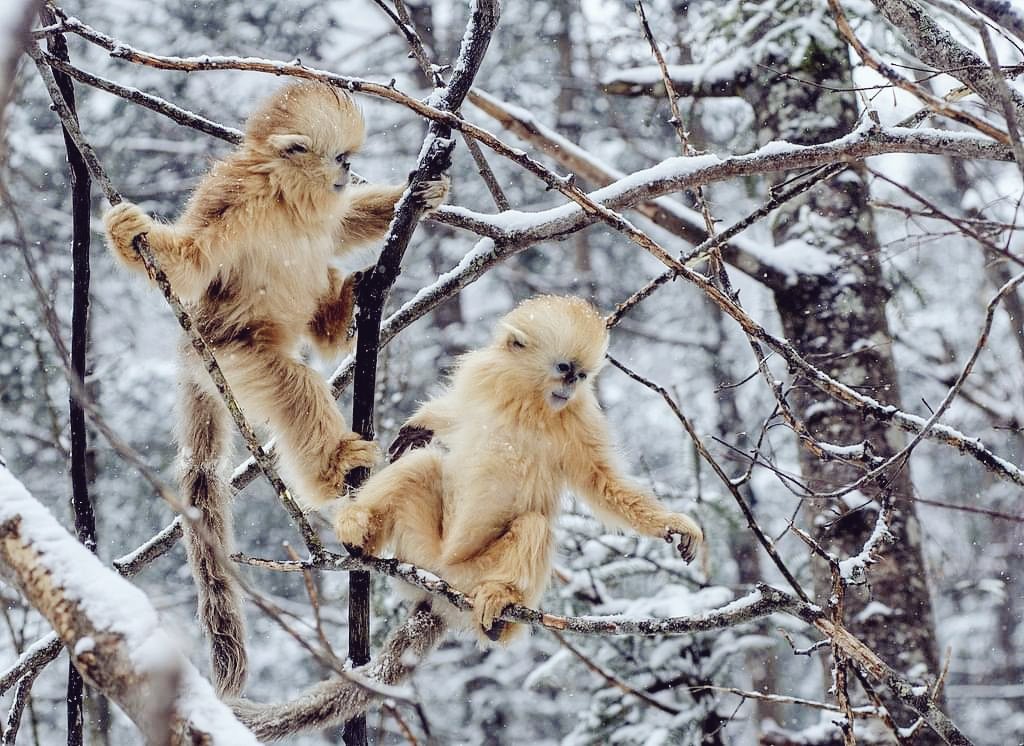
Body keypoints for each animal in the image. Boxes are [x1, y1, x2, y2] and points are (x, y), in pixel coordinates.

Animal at [103, 81, 449, 696]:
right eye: (339, 157)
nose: (348, 171)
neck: (285, 199)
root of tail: (192, 354)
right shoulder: (233, 203)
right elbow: (191, 264)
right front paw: (132, 234)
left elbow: (340, 225)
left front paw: (419, 194)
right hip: (232, 355)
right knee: (292, 384)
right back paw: (336, 461)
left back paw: (339, 316)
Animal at [334, 295, 703, 642]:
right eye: (564, 368)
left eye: (582, 376)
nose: (571, 385)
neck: (529, 403)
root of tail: (442, 578)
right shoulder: (482, 378)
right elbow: (454, 413)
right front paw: (423, 425)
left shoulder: (580, 419)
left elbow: (602, 482)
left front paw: (674, 523)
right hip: (419, 552)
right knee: (420, 464)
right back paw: (359, 527)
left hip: (472, 574)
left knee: (533, 526)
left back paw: (499, 604)